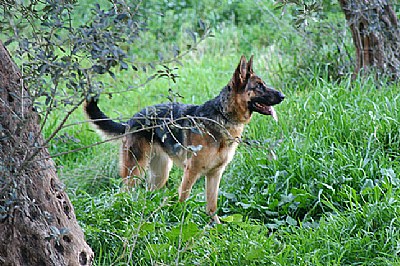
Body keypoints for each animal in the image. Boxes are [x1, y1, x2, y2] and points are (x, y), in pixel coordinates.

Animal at [83, 55, 284, 222]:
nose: (283, 95)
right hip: (135, 170)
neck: (222, 116)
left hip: (160, 174)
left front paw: (216, 228)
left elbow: (212, 206)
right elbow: (183, 199)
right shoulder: (191, 171)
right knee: (124, 193)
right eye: (259, 86)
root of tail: (131, 120)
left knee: (148, 193)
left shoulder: (215, 174)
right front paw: (181, 221)